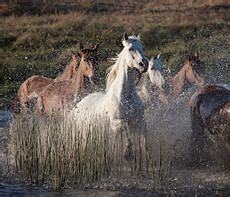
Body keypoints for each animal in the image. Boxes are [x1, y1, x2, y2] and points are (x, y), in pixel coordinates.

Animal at [70, 31, 148, 159]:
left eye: (142, 48)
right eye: (130, 48)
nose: (144, 65)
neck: (126, 96)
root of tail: (77, 106)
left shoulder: (139, 121)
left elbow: (145, 139)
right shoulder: (116, 123)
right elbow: (125, 127)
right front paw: (127, 152)